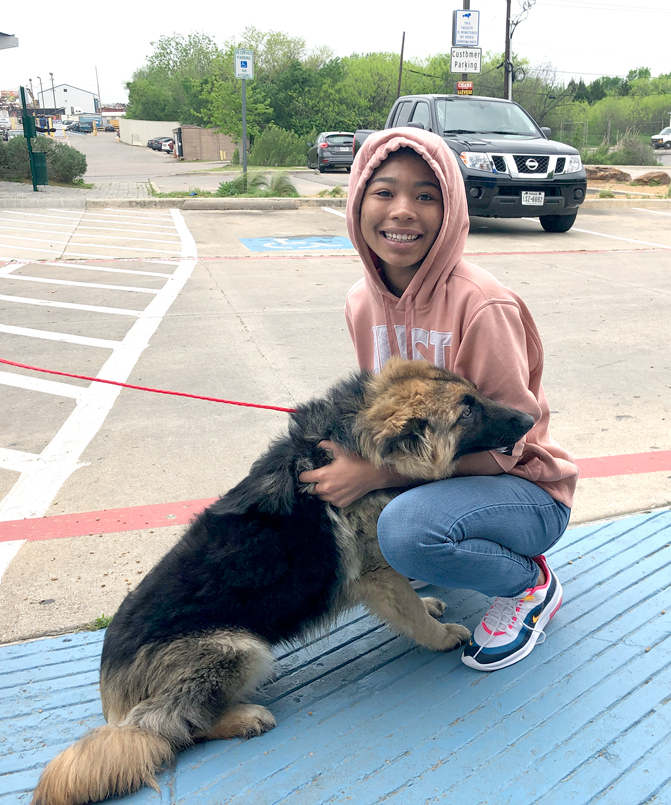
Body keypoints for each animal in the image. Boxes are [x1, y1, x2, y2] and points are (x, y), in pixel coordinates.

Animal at [31, 360, 536, 804]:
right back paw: (241, 719)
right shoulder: (377, 572)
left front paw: (429, 605)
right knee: (173, 729)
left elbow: (412, 600)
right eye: (466, 411)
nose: (531, 418)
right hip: (238, 648)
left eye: (477, 394)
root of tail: (114, 708)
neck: (354, 436)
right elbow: (409, 610)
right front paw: (438, 634)